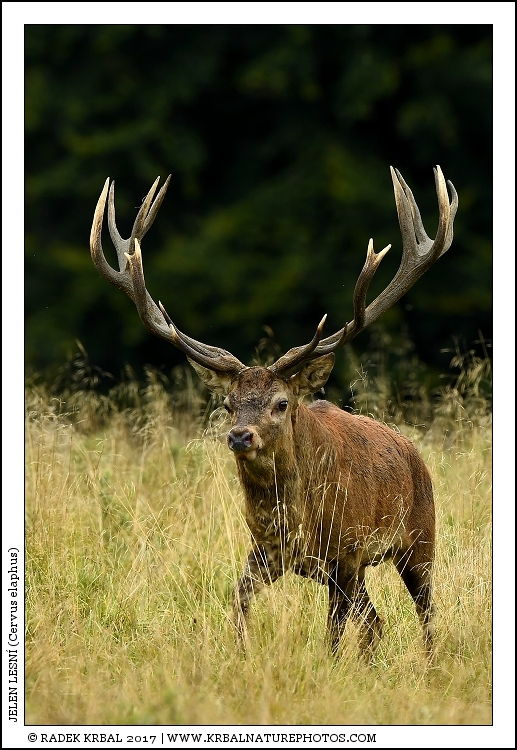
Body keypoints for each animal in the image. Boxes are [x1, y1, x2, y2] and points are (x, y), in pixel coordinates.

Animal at [90, 166, 457, 659]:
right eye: (228, 404)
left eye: (281, 403)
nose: (239, 436)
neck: (295, 519)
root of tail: (413, 452)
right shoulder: (267, 550)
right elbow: (239, 600)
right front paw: (241, 652)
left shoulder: (346, 553)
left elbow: (332, 632)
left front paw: (327, 666)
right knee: (376, 622)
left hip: (420, 538)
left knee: (425, 614)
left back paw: (431, 663)